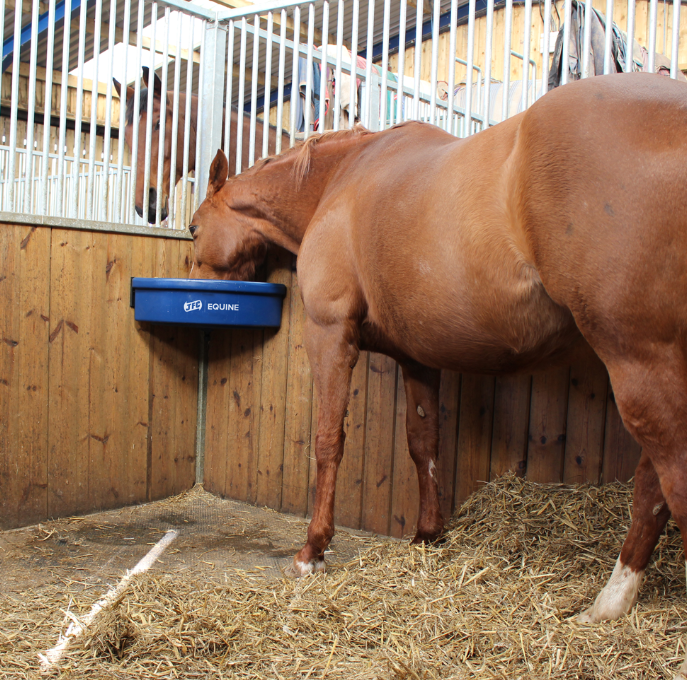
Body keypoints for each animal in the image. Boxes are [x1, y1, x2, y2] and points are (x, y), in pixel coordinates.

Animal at [188, 72, 687, 678]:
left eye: (193, 229)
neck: (343, 181)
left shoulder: (329, 332)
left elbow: (329, 441)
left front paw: (312, 551)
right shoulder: (418, 357)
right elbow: (423, 441)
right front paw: (428, 534)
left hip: (639, 361)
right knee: (652, 485)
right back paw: (610, 602)